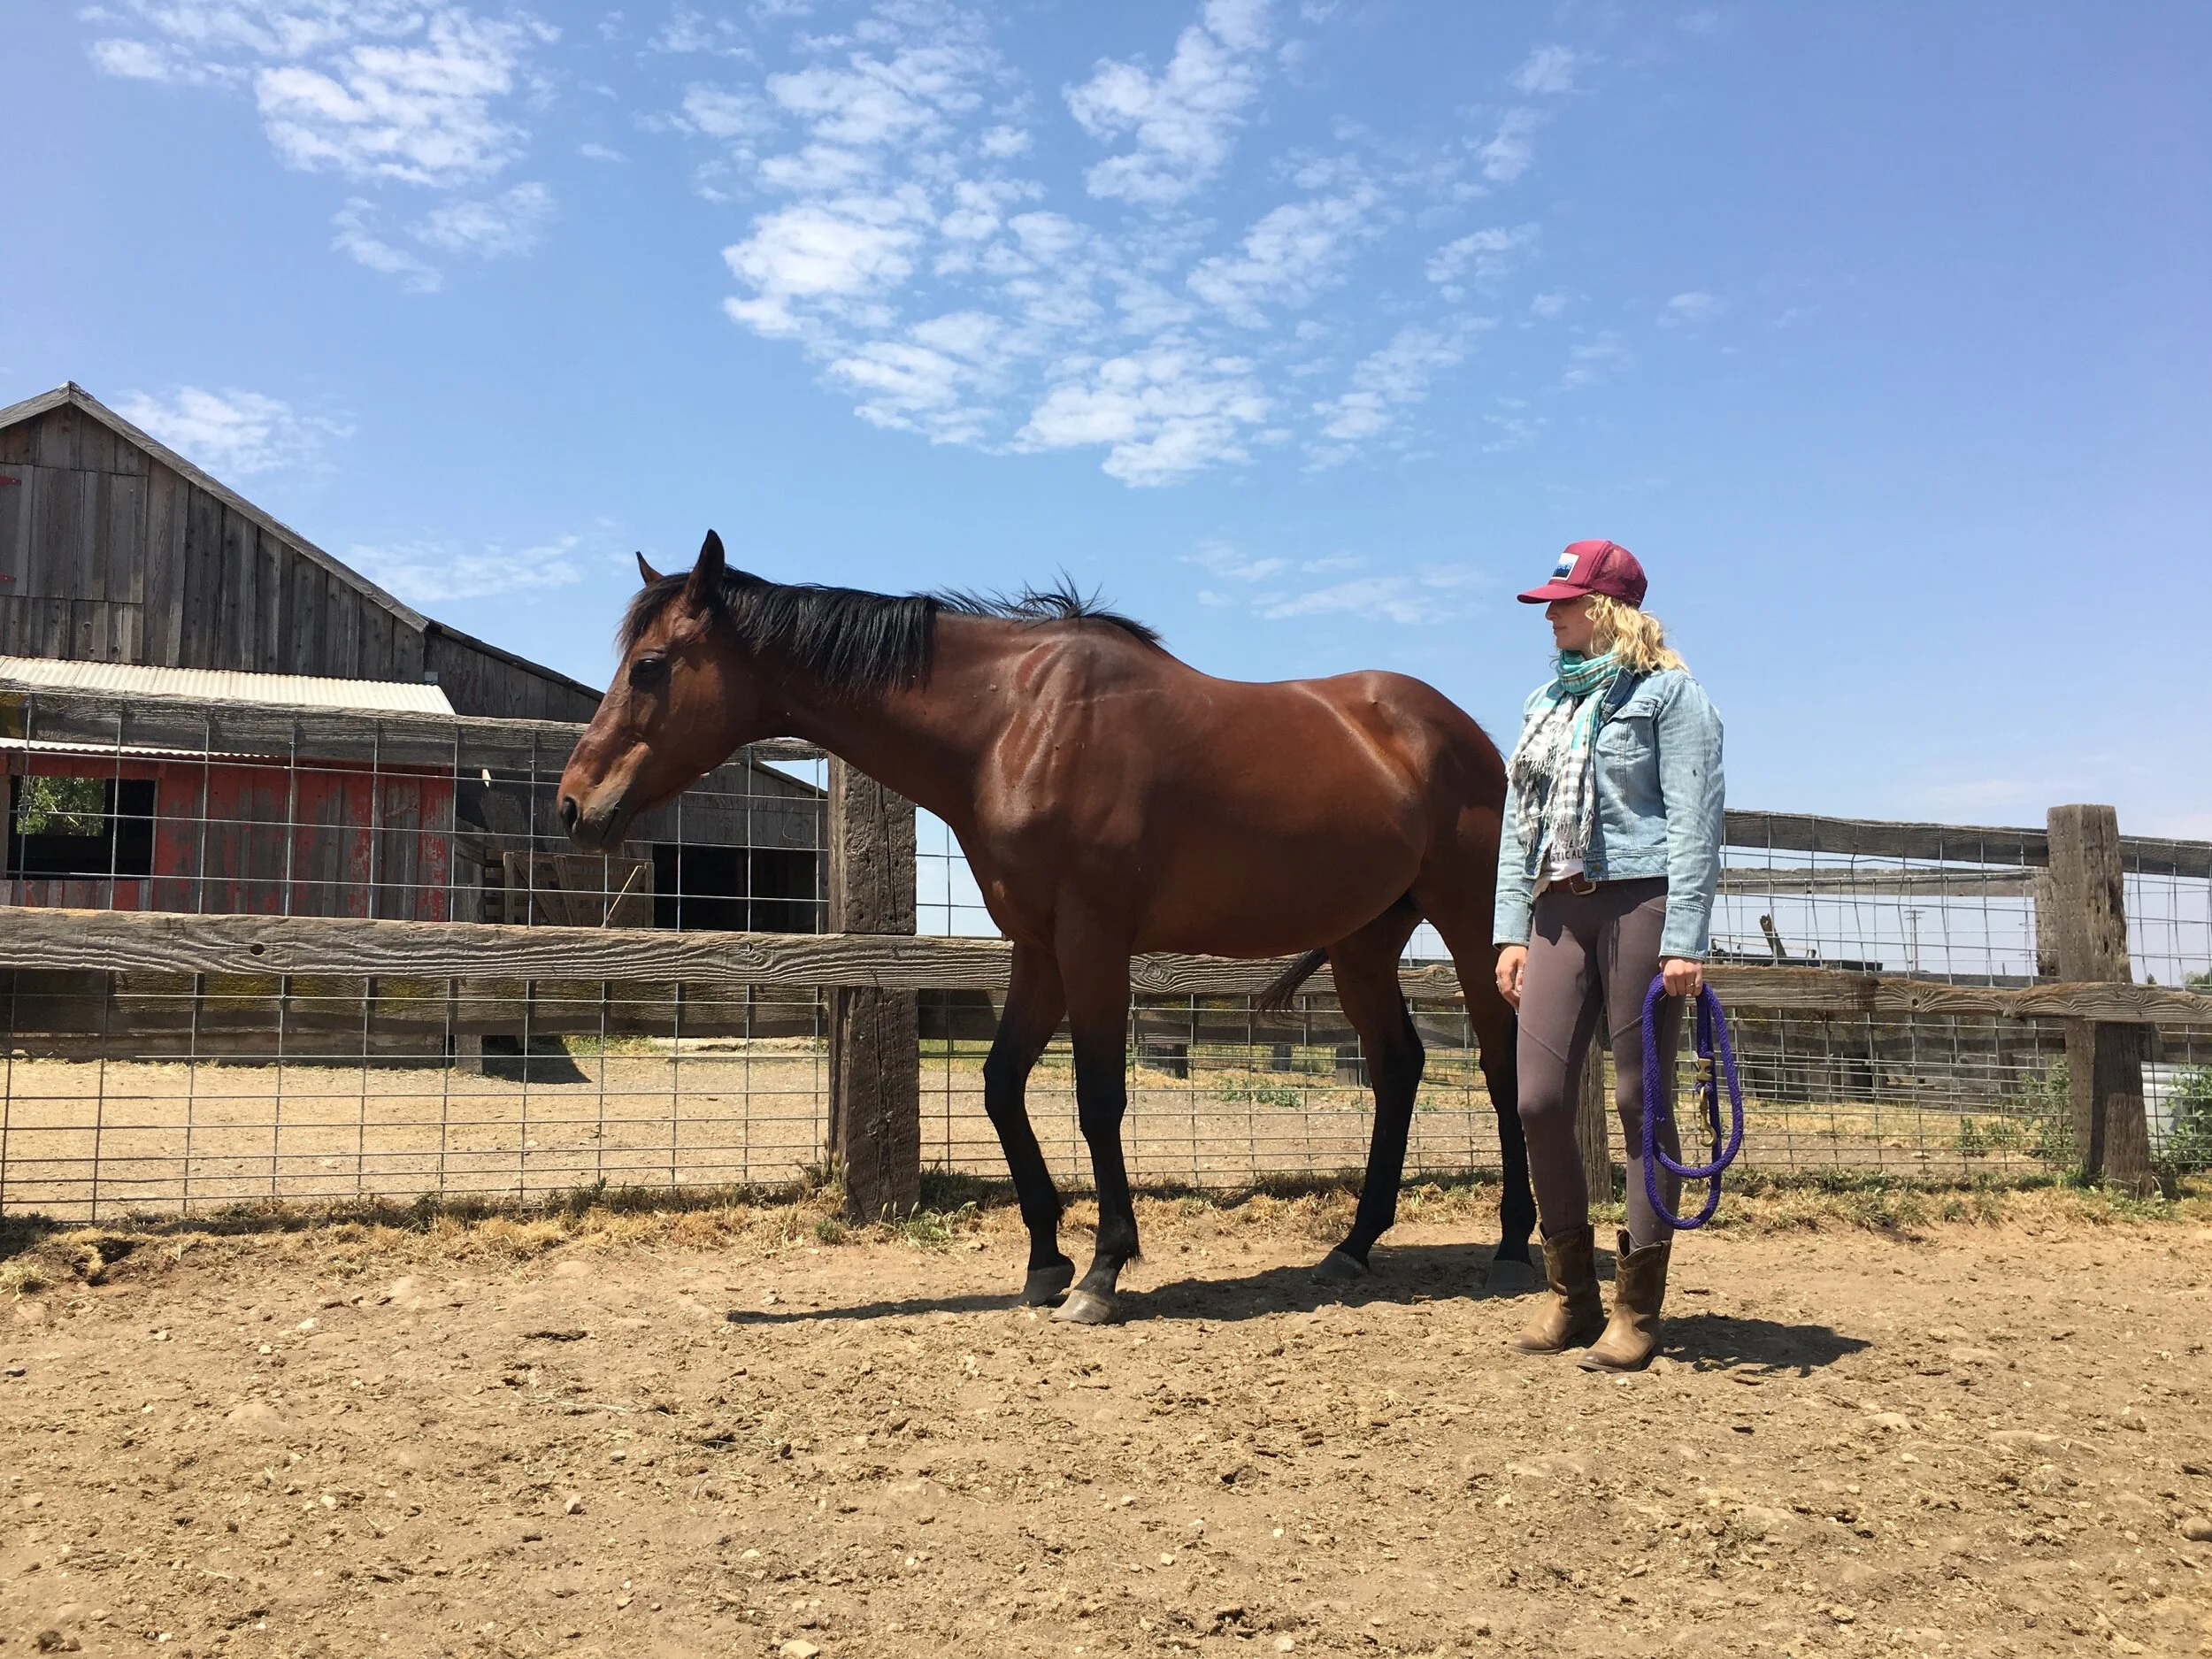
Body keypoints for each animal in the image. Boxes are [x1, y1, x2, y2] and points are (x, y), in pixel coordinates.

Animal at [558, 530, 1533, 1324]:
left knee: (1498, 1061)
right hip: (1363, 940)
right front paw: (1044, 1262)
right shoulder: (1036, 946)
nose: (574, 805)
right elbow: (1000, 1086)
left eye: (650, 665)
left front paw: (1102, 1272)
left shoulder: (1091, 939)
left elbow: (1098, 1097)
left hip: (1468, 926)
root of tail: (1467, 735)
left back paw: (1514, 1244)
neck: (1013, 721)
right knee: (1398, 1067)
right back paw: (1354, 1245)